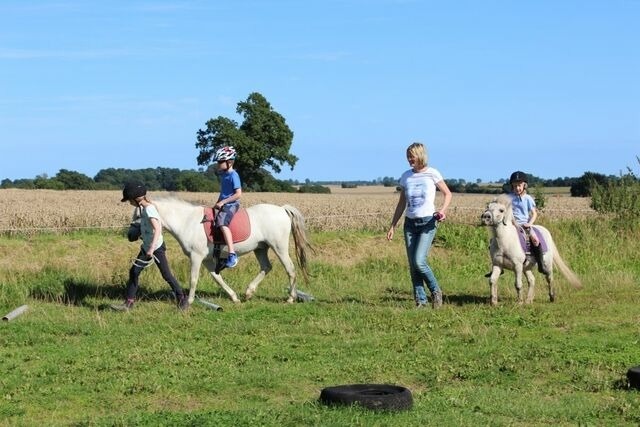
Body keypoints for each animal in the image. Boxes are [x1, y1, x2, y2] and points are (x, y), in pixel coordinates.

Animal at [152, 199, 312, 306]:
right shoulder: (207, 260)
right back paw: (249, 293)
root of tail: (282, 209)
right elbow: (217, 277)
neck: (188, 222)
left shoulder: (196, 257)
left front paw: (189, 301)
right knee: (266, 267)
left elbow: (193, 278)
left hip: (279, 247)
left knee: (290, 269)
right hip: (260, 248)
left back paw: (291, 298)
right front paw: (234, 297)